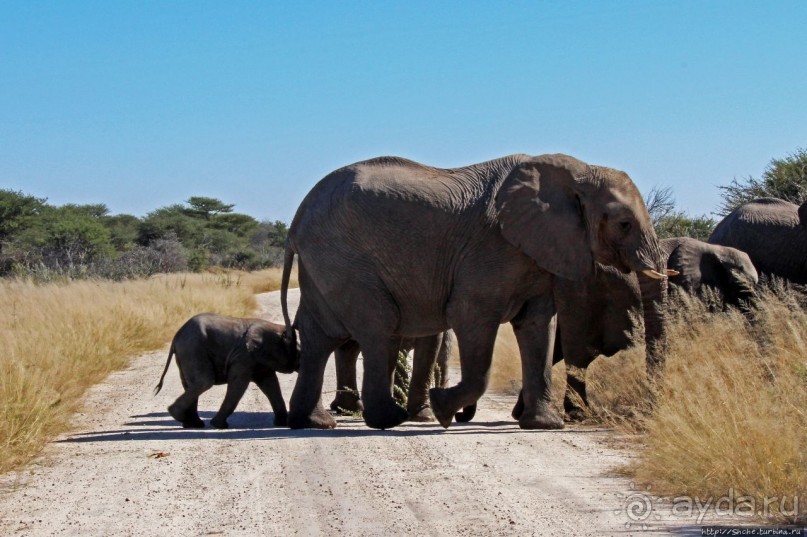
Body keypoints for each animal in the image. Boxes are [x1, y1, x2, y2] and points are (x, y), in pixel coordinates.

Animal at [155, 312, 300, 430]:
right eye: (299, 352)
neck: (276, 327)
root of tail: (176, 337)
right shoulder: (244, 356)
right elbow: (238, 384)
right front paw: (219, 425)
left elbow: (270, 384)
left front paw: (282, 423)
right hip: (192, 349)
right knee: (204, 382)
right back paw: (179, 415)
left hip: (187, 352)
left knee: (190, 384)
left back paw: (192, 424)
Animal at [280, 153, 664, 430]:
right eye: (624, 224)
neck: (577, 171)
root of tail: (298, 216)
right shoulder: (490, 250)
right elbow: (472, 320)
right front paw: (442, 409)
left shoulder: (538, 251)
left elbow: (538, 326)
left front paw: (545, 426)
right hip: (343, 258)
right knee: (378, 326)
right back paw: (388, 420)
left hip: (324, 262)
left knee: (319, 336)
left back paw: (314, 422)